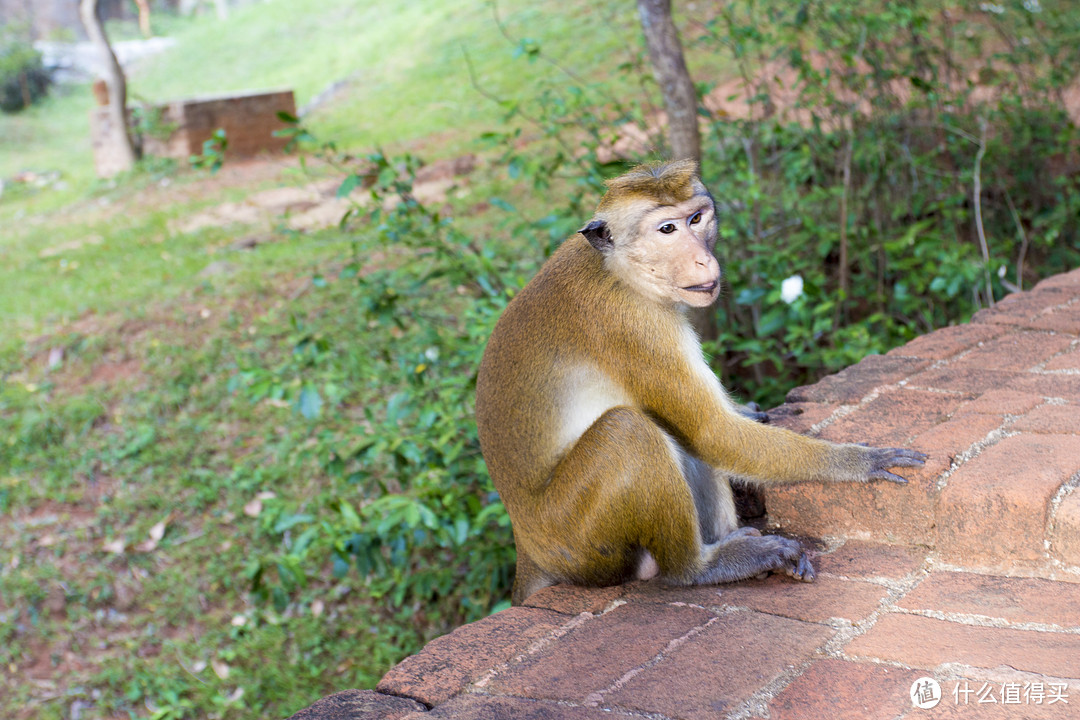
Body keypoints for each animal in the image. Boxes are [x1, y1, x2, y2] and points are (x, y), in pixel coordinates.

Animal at [477, 160, 924, 604]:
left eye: (696, 219)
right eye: (667, 229)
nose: (703, 262)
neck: (619, 272)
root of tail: (527, 547)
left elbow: (709, 433)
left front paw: (753, 411)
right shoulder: (635, 324)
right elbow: (713, 430)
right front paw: (859, 461)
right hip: (575, 539)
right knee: (631, 431)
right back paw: (700, 567)